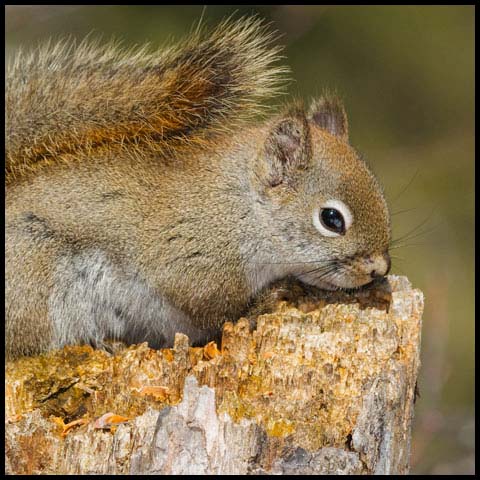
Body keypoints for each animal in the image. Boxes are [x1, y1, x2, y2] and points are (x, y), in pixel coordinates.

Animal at [5, 16, 392, 358]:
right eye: (332, 219)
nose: (379, 270)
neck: (243, 208)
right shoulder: (192, 266)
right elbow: (217, 315)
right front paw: (264, 303)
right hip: (36, 284)